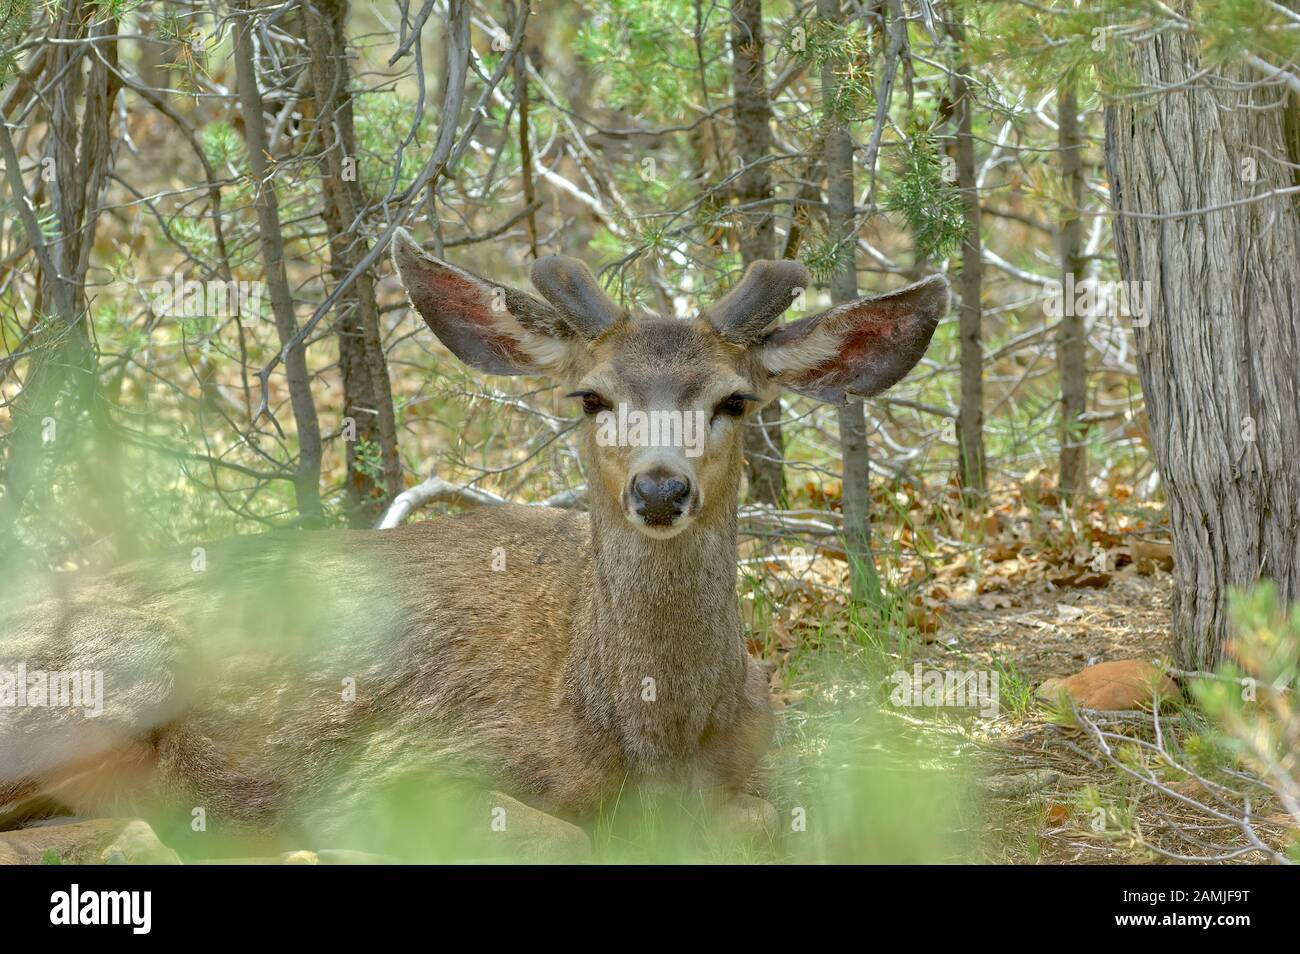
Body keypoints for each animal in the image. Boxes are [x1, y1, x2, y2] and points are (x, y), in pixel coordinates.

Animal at [0, 233, 951, 868]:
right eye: (589, 396)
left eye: (735, 401)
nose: (659, 490)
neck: (643, 730)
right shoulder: (400, 764)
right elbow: (563, 837)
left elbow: (764, 823)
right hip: (115, 667)